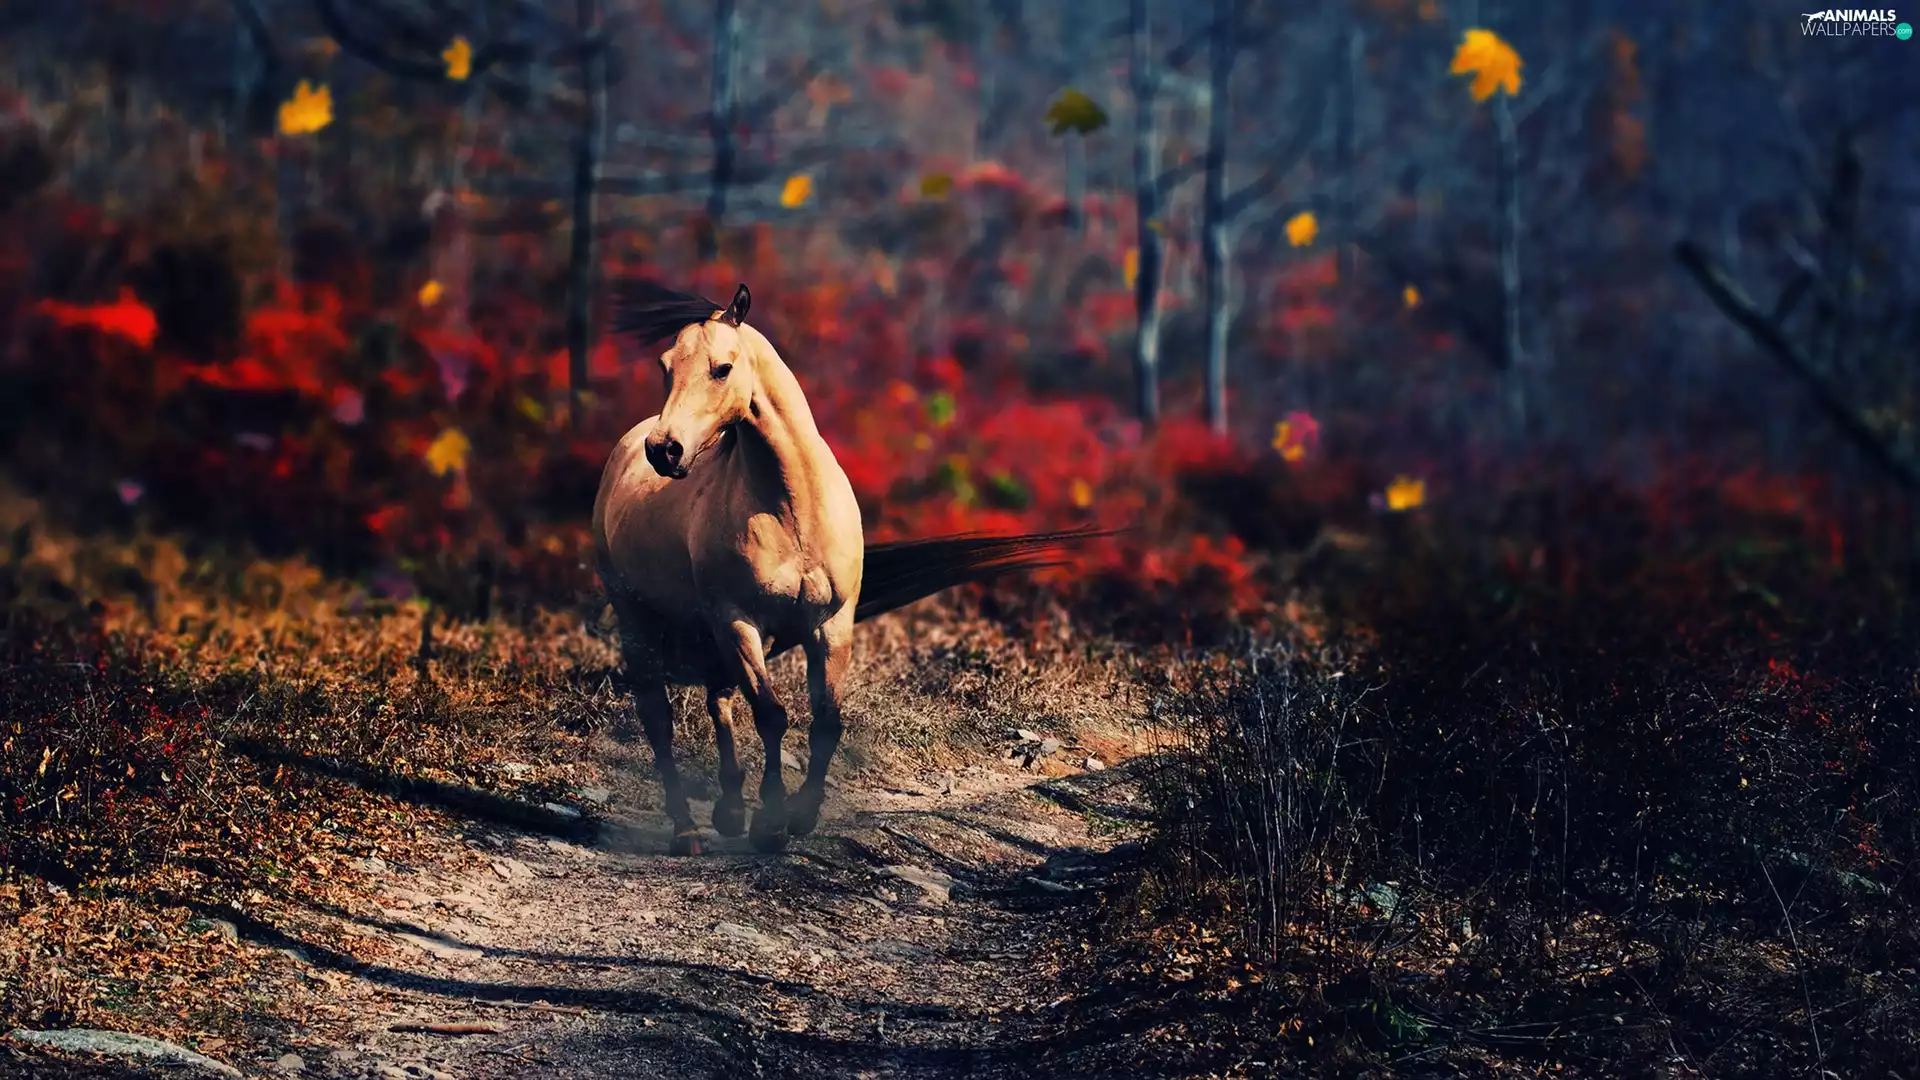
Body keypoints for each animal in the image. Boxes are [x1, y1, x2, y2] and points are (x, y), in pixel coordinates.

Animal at [593, 279, 1102, 855]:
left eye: (721, 368)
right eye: (664, 367)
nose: (664, 450)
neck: (792, 509)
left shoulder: (830, 624)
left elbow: (826, 721)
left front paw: (801, 816)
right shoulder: (740, 621)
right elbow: (771, 715)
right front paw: (771, 823)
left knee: (718, 699)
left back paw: (728, 812)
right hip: (640, 617)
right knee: (658, 716)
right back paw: (687, 831)